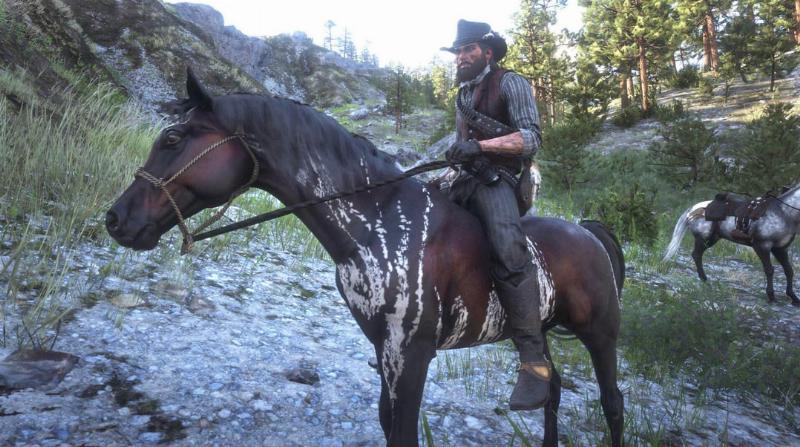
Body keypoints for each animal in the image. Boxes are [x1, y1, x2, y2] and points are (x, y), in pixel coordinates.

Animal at [106, 69, 625, 446]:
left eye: (173, 140)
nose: (116, 219)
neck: (376, 223)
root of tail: (590, 233)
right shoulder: (383, 348)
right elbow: (385, 420)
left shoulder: (411, 353)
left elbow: (403, 431)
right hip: (541, 329)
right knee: (551, 389)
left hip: (600, 334)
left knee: (613, 403)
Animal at [663, 188, 800, 306]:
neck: (784, 213)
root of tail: (695, 208)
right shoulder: (762, 246)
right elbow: (769, 270)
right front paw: (771, 297)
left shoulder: (780, 249)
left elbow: (789, 270)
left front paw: (794, 298)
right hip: (703, 239)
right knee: (696, 255)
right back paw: (705, 280)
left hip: (712, 239)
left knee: (697, 255)